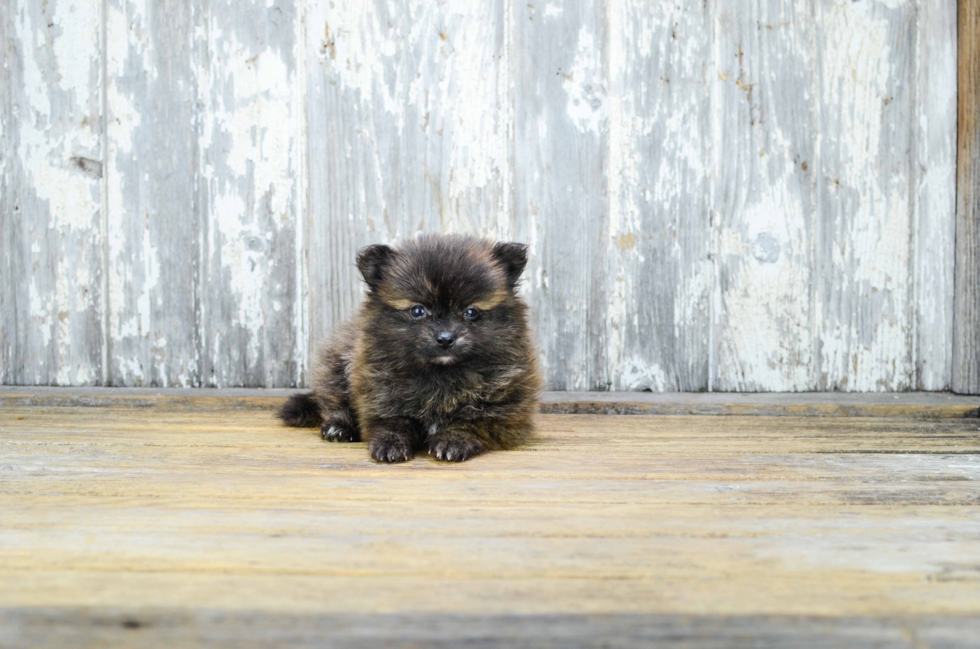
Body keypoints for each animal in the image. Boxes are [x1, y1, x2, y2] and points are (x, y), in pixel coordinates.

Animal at [278, 235, 544, 464]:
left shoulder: (505, 409)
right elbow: (394, 422)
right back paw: (338, 428)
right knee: (332, 401)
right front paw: (390, 443)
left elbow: (470, 422)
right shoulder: (380, 394)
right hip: (336, 365)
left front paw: (453, 441)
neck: (440, 375)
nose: (445, 338)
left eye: (471, 312)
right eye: (418, 311)